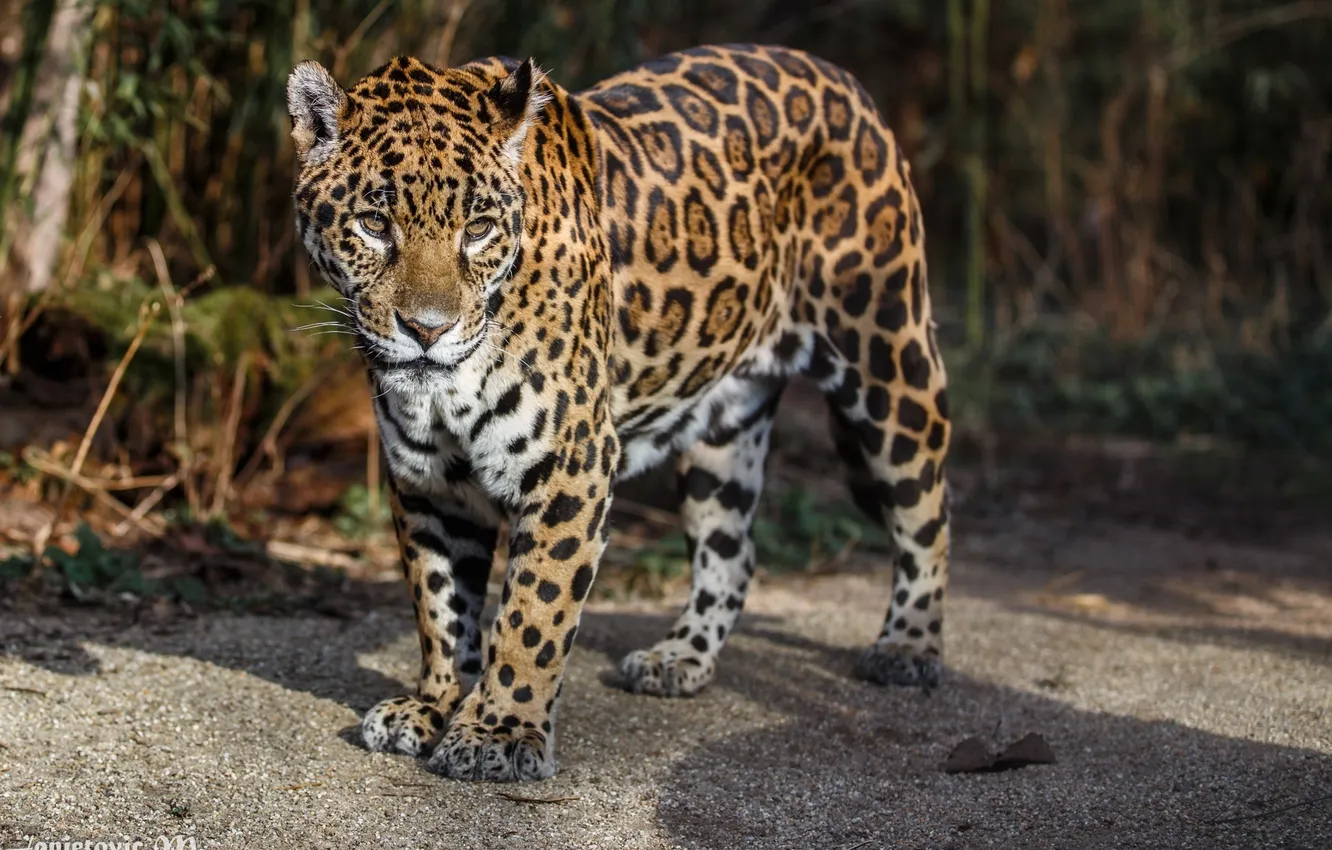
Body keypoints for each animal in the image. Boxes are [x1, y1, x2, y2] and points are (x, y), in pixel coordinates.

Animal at [286, 43, 952, 782]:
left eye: (478, 229)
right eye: (375, 225)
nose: (428, 329)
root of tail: (841, 77)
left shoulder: (569, 466)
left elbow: (533, 612)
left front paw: (497, 731)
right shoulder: (427, 482)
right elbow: (441, 606)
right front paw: (435, 705)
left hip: (889, 360)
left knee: (927, 511)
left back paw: (909, 647)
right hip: (725, 428)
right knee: (733, 551)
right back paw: (680, 658)